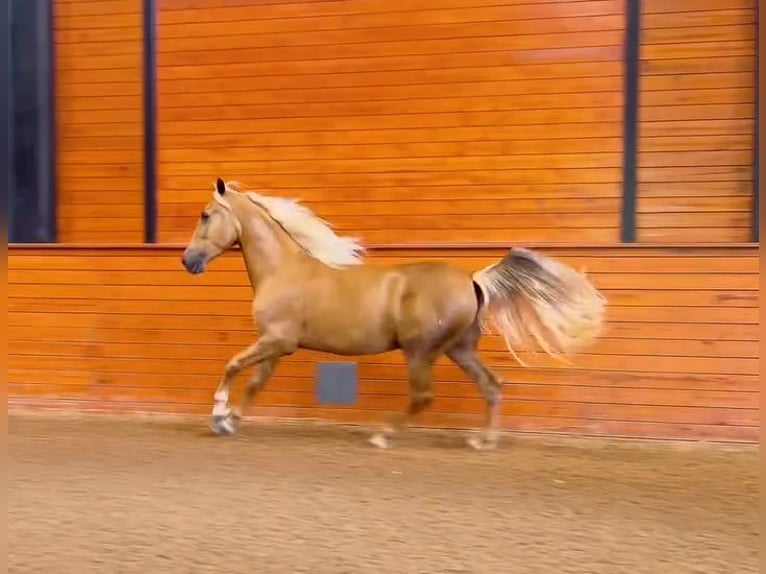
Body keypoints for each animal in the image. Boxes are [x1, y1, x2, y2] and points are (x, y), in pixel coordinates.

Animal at [181, 178, 606, 450]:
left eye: (205, 214)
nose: (188, 261)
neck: (283, 269)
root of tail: (472, 280)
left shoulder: (275, 340)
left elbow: (234, 366)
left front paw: (218, 414)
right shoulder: (280, 345)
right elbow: (256, 382)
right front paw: (230, 421)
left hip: (420, 351)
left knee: (423, 396)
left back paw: (382, 434)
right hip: (459, 349)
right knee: (491, 384)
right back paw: (483, 440)